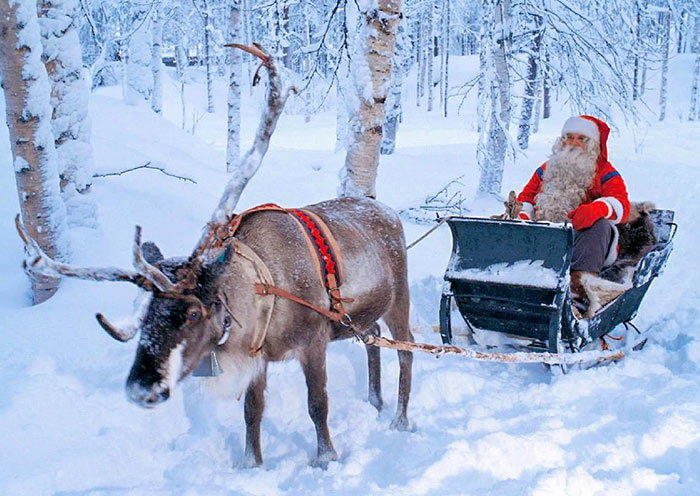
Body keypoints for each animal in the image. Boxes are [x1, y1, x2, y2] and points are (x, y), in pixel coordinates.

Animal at [14, 45, 413, 469]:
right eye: (144, 314)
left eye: (192, 313)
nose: (141, 389)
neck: (264, 289)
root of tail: (389, 210)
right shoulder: (259, 356)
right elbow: (252, 411)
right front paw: (251, 463)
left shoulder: (313, 341)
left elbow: (317, 405)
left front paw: (325, 458)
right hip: (363, 316)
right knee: (372, 339)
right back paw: (374, 402)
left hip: (399, 299)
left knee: (406, 351)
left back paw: (401, 418)